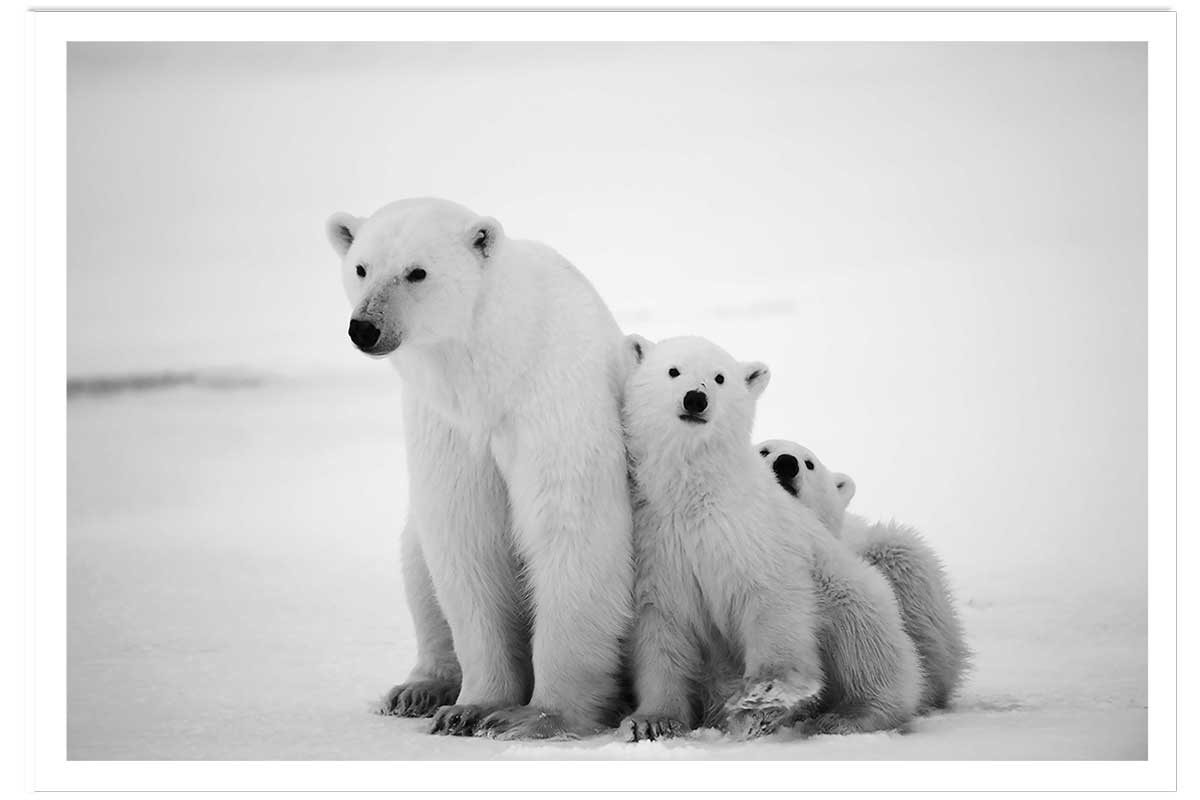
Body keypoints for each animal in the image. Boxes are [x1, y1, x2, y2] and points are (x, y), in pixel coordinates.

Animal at [325, 198, 634, 739]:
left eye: (417, 271)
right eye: (361, 268)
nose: (365, 327)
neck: (493, 370)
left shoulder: (554, 398)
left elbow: (570, 529)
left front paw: (535, 717)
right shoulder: (447, 424)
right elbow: (465, 536)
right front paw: (470, 708)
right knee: (416, 561)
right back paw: (419, 688)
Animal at [621, 334, 922, 741]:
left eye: (719, 377)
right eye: (673, 370)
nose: (695, 399)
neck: (695, 494)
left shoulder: (752, 530)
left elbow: (772, 597)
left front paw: (764, 696)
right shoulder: (658, 542)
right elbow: (661, 627)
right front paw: (652, 721)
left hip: (851, 590)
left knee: (864, 643)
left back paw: (849, 715)